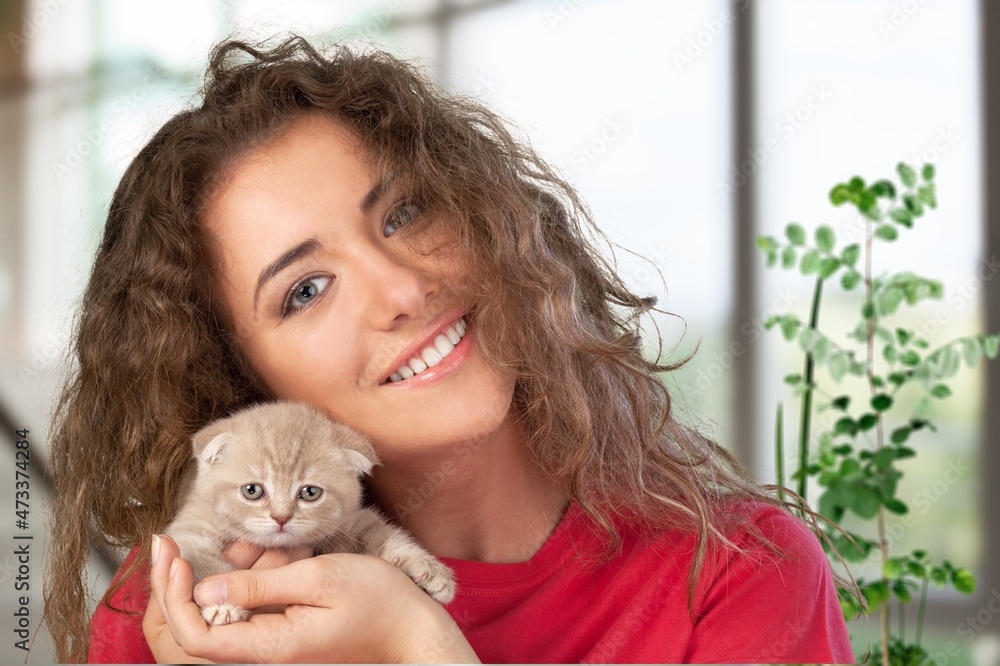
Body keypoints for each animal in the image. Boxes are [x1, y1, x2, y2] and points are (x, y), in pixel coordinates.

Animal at [165, 400, 458, 624]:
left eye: (310, 492)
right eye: (252, 490)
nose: (281, 518)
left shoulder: (348, 522)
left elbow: (382, 533)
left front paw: (427, 569)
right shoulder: (191, 530)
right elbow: (202, 561)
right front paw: (221, 601)